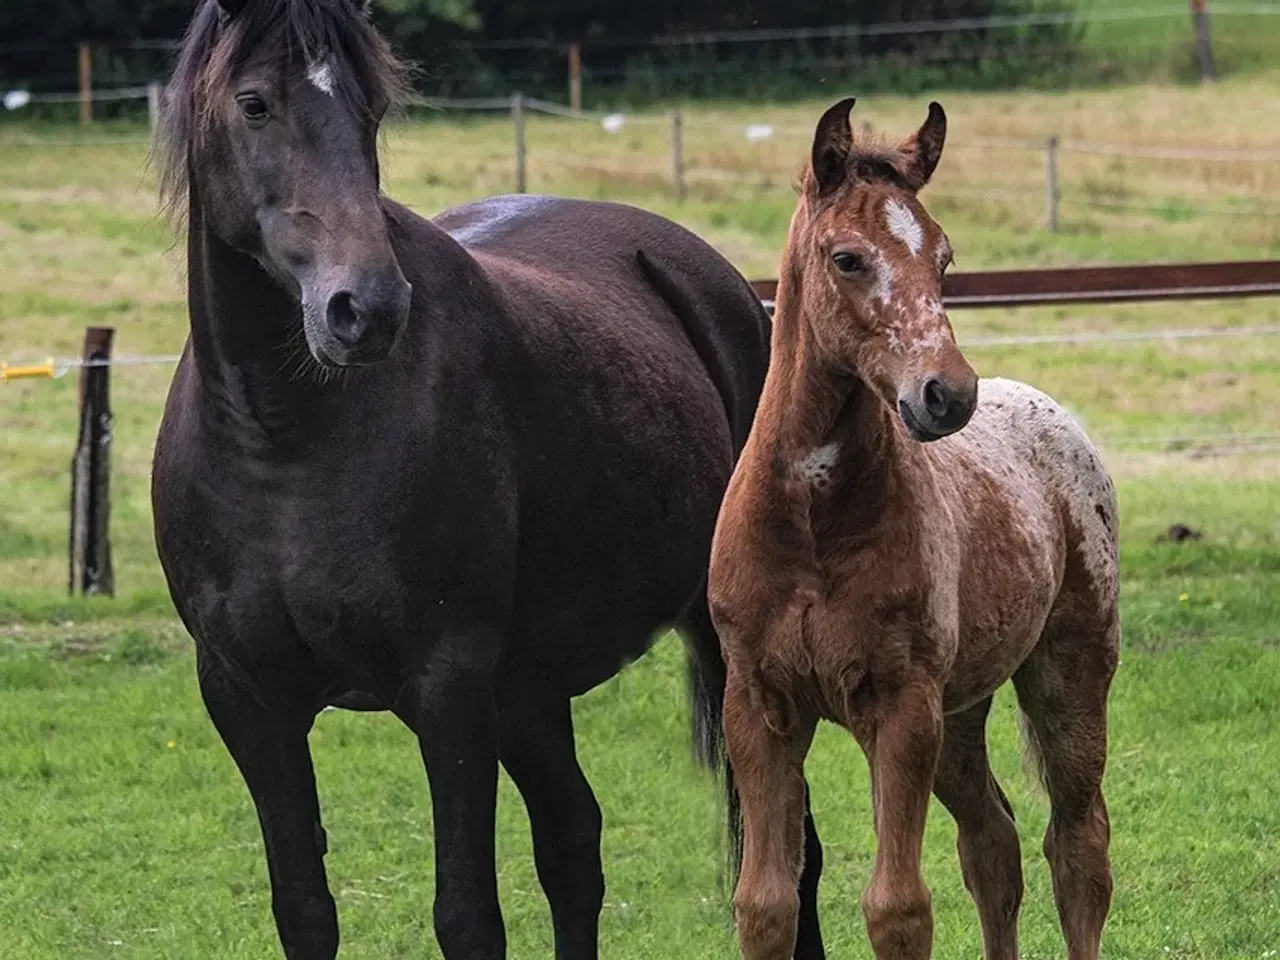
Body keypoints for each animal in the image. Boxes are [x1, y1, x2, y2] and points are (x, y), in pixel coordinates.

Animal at [152, 1, 829, 960]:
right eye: (253, 104)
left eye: (370, 109)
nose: (366, 309)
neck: (283, 444)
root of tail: (720, 284)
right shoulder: (251, 703)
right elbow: (305, 910)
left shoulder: (449, 692)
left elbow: (467, 915)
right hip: (531, 690)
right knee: (575, 847)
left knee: (789, 853)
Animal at [711, 99, 1121, 960]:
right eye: (847, 258)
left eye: (945, 258)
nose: (948, 394)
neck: (811, 529)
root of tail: (1047, 407)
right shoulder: (758, 704)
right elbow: (764, 904)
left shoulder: (900, 706)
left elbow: (897, 907)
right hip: (962, 707)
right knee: (993, 842)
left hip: (1070, 670)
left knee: (1079, 846)